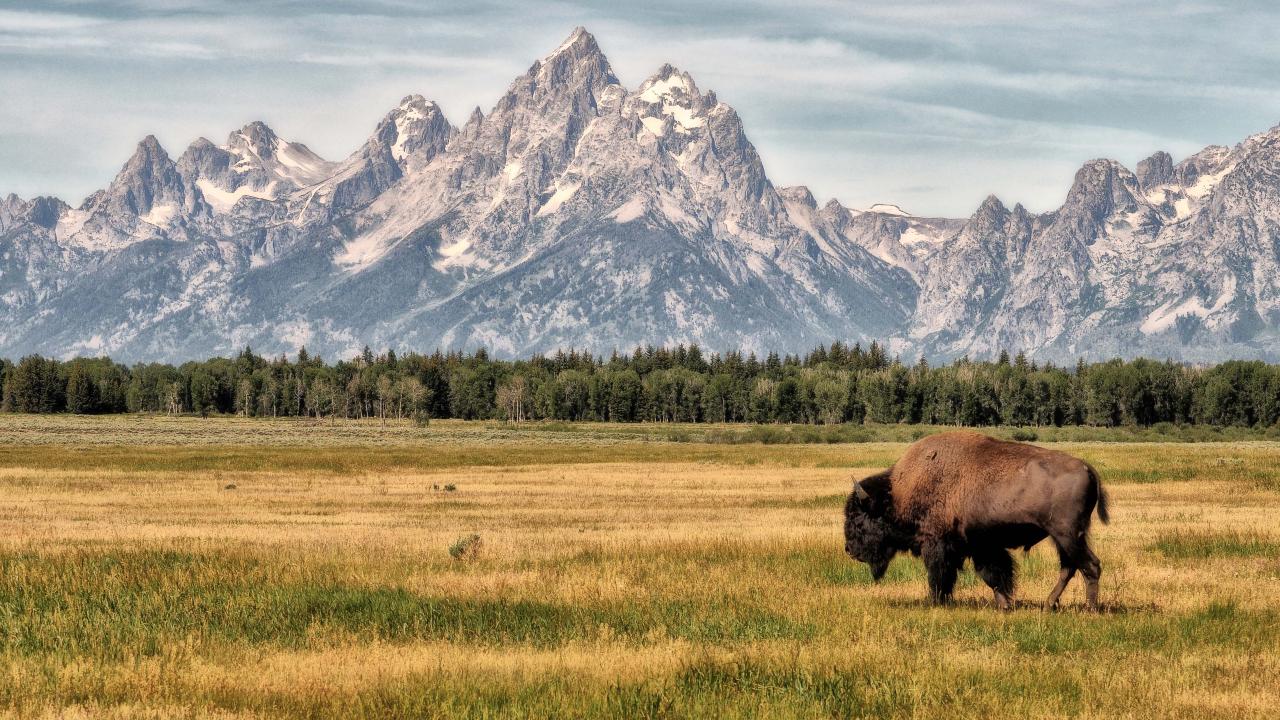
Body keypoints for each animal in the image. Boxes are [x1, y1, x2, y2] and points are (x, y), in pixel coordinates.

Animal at [843, 431, 1109, 610]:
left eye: (858, 519)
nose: (849, 550)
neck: (896, 494)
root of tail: (1086, 468)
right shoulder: (982, 546)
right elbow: (994, 575)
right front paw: (1004, 605)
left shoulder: (938, 544)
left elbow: (940, 575)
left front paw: (936, 602)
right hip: (1062, 538)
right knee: (1070, 567)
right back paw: (1049, 604)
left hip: (1067, 535)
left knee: (1090, 565)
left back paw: (1089, 609)